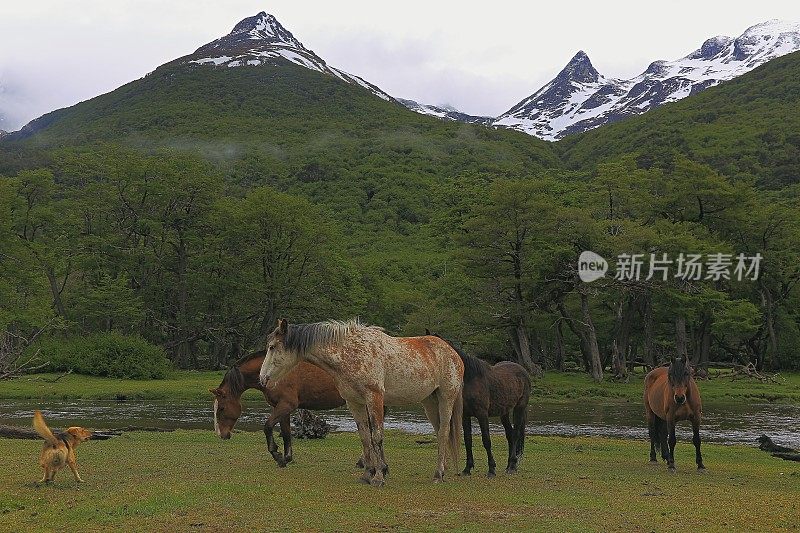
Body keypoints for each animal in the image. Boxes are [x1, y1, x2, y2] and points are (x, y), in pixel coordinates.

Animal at [209, 350, 344, 466]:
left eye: (221, 408)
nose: (221, 434)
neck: (274, 372)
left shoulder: (286, 405)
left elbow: (268, 427)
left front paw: (276, 454)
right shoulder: (282, 409)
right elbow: (286, 433)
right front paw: (286, 458)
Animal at [260, 318, 466, 484]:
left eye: (273, 347)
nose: (263, 379)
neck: (351, 352)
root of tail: (452, 352)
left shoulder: (374, 398)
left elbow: (376, 436)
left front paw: (379, 476)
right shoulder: (354, 402)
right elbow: (365, 437)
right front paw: (368, 473)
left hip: (446, 398)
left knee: (443, 432)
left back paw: (438, 475)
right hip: (429, 402)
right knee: (440, 432)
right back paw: (443, 470)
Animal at [432, 332, 532, 478]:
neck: (471, 379)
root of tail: (523, 371)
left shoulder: (482, 414)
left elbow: (486, 440)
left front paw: (491, 469)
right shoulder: (465, 416)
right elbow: (468, 440)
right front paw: (467, 469)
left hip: (519, 408)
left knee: (515, 434)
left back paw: (512, 466)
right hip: (504, 412)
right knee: (510, 433)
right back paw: (508, 465)